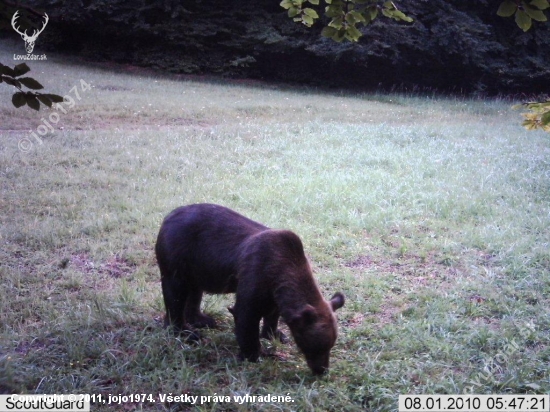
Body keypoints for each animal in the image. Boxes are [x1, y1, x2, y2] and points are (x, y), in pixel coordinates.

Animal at [155, 203, 344, 374]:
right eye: (316, 347)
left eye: (330, 345)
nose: (322, 371)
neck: (282, 271)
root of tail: (167, 217)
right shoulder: (254, 274)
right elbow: (246, 315)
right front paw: (255, 354)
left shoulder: (274, 292)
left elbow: (272, 313)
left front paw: (275, 334)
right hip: (177, 256)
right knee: (175, 294)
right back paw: (185, 332)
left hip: (197, 267)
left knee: (194, 291)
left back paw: (202, 319)